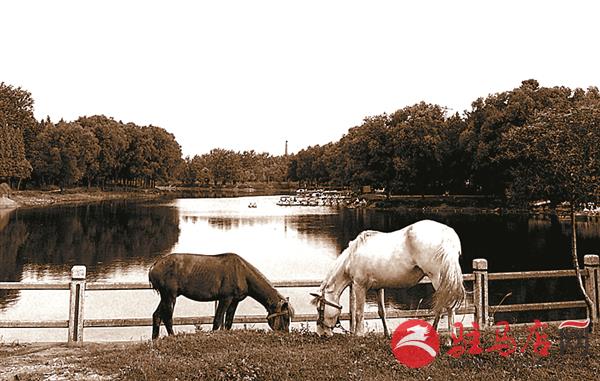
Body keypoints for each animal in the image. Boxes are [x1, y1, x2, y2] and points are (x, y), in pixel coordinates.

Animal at [148, 252, 292, 338]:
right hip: (170, 296)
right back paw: (172, 336)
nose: (286, 333)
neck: (242, 273)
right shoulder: (225, 299)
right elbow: (217, 321)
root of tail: (154, 265)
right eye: (285, 317)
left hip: (166, 296)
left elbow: (228, 321)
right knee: (167, 317)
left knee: (157, 315)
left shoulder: (234, 301)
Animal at [312, 218, 466, 336]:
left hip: (438, 279)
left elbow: (359, 313)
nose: (321, 333)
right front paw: (387, 334)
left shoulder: (359, 286)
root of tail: (447, 235)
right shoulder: (378, 287)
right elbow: (382, 312)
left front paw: (358, 334)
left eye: (320, 309)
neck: (351, 257)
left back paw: (450, 339)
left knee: (448, 306)